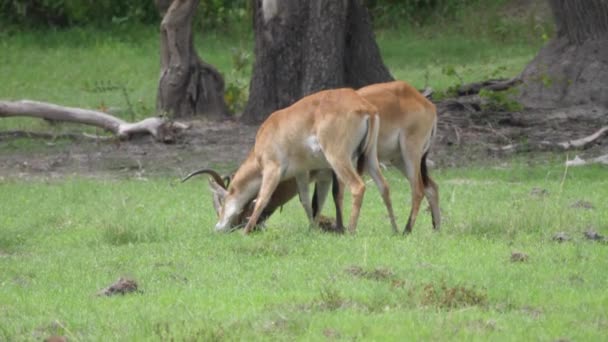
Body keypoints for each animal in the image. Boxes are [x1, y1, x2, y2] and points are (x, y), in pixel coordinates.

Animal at [183, 80, 440, 235]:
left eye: (221, 202)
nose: (220, 227)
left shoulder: (273, 169)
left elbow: (263, 198)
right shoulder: (304, 173)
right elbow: (310, 201)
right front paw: (314, 229)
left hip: (377, 156)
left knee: (373, 187)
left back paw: (365, 230)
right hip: (375, 159)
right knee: (396, 187)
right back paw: (402, 229)